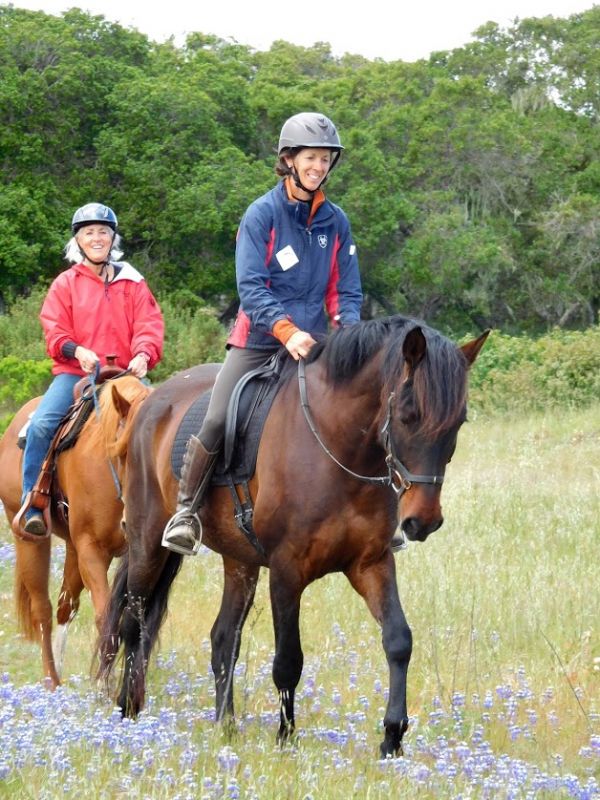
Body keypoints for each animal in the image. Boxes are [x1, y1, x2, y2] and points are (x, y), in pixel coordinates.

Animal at [0, 374, 151, 688]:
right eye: (125, 452)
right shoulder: (92, 550)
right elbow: (106, 618)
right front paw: (103, 687)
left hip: (71, 548)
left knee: (65, 607)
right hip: (29, 540)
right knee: (43, 610)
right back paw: (52, 680)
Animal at [97, 316, 488, 757]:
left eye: (459, 422)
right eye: (407, 414)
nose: (424, 521)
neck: (339, 446)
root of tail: (150, 403)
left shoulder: (371, 563)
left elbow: (398, 639)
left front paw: (392, 737)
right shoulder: (287, 571)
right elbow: (288, 660)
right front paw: (286, 739)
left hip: (240, 560)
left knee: (222, 639)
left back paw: (225, 726)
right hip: (148, 542)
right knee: (133, 624)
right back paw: (127, 711)